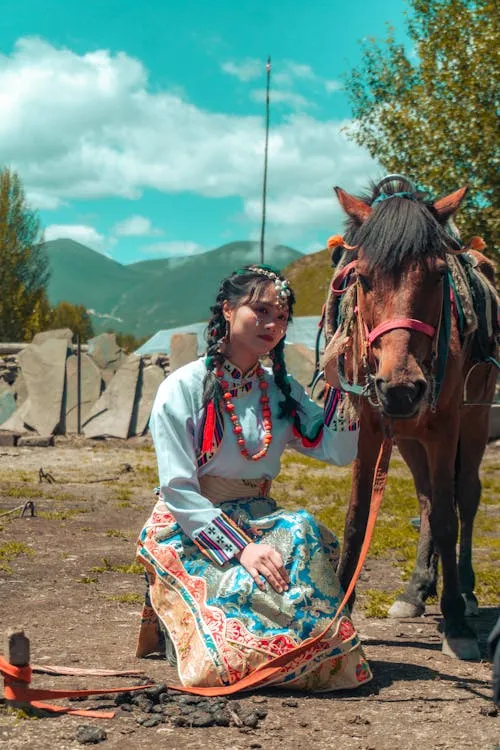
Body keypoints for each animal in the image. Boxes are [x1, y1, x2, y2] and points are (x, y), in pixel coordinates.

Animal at [322, 175, 498, 656]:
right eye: (362, 277)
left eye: (438, 274)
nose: (401, 388)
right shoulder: (371, 425)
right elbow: (357, 516)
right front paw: (341, 607)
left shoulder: (445, 426)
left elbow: (446, 519)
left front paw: (455, 620)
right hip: (408, 437)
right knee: (425, 497)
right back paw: (417, 589)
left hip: (474, 421)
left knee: (465, 498)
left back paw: (466, 592)